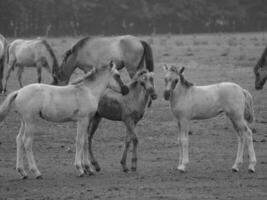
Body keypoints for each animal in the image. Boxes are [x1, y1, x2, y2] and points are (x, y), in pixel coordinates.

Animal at [0, 61, 130, 180]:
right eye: (117, 75)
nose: (126, 90)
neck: (88, 91)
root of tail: (19, 92)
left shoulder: (86, 120)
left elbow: (85, 141)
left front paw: (88, 169)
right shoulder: (83, 120)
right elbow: (80, 141)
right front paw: (80, 169)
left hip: (24, 122)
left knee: (19, 140)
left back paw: (22, 172)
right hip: (30, 121)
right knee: (27, 142)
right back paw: (36, 172)